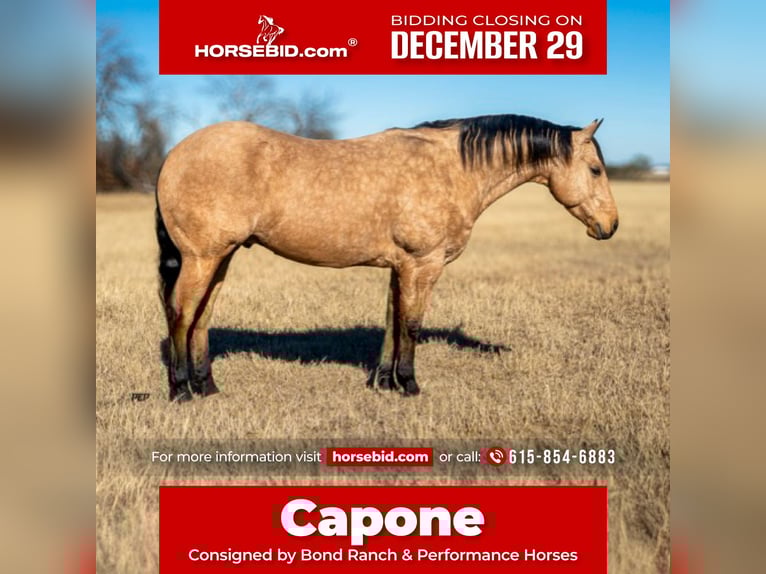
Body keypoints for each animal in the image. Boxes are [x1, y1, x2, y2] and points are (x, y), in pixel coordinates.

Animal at [155, 114, 618, 403]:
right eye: (595, 170)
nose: (610, 225)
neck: (451, 169)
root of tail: (174, 153)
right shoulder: (423, 263)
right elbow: (411, 324)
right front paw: (409, 385)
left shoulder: (402, 267)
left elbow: (393, 321)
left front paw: (383, 382)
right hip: (202, 257)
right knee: (181, 313)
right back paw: (181, 391)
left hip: (221, 257)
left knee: (201, 317)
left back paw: (207, 387)